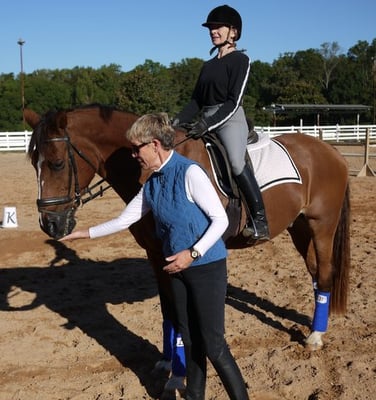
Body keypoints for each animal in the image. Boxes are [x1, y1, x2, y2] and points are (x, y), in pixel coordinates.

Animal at [25, 104, 350, 354]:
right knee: (314, 272)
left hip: (322, 225)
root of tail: (328, 150)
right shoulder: (156, 254)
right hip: (300, 227)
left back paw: (315, 337)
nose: (50, 224)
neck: (156, 169)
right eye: (32, 163)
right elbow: (168, 309)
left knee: (324, 273)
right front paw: (166, 362)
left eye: (56, 164)